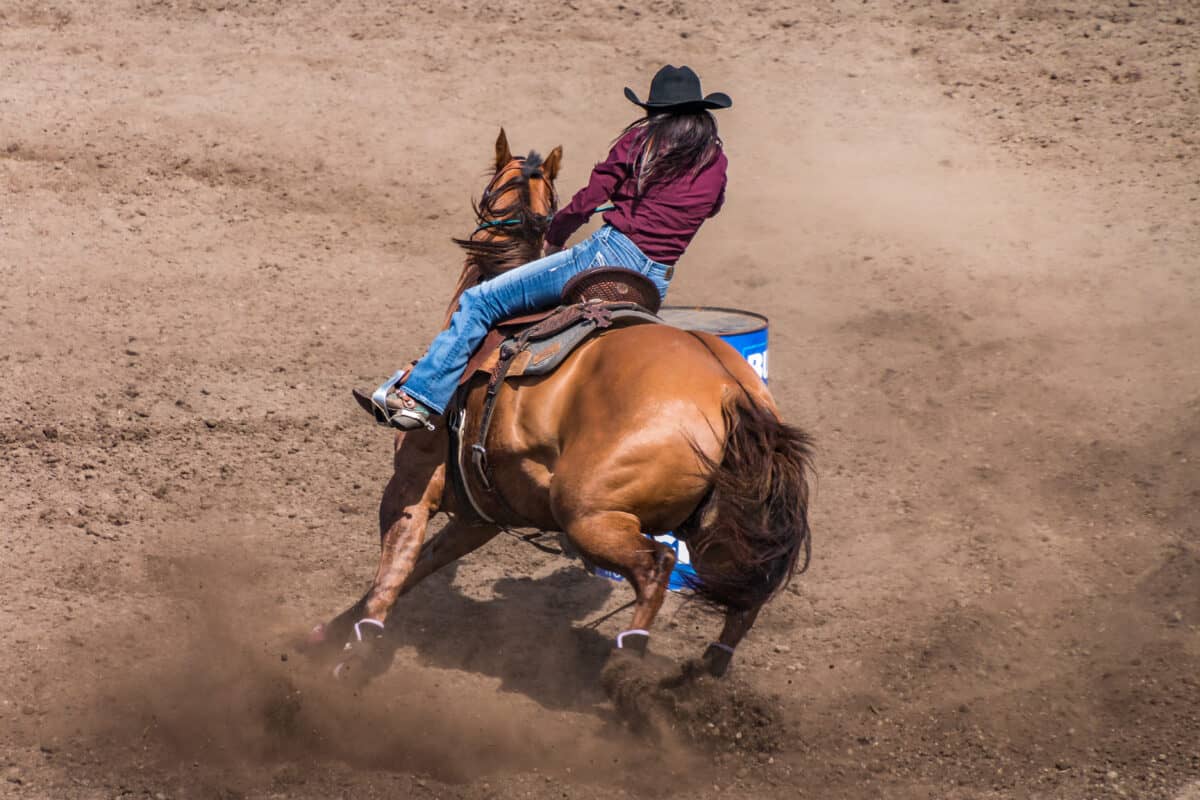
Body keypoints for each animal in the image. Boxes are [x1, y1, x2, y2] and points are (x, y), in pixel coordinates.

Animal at [309, 131, 816, 690]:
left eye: (493, 186)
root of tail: (729, 388)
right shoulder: (480, 515)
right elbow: (418, 567)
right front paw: (335, 630)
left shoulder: (413, 482)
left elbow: (394, 567)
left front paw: (355, 649)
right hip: (721, 525)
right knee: (746, 594)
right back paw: (702, 673)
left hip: (587, 513)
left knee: (657, 566)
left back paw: (628, 662)